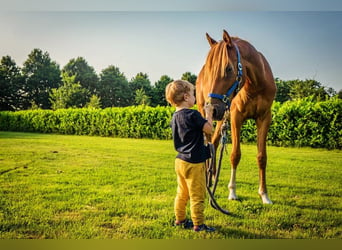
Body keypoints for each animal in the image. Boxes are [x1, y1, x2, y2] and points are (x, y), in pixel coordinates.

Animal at [196, 29, 276, 205]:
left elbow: (262, 156)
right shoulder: (235, 117)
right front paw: (232, 192)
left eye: (228, 69)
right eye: (210, 71)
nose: (212, 108)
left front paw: (264, 194)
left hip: (220, 118)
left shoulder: (264, 117)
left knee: (214, 143)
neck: (255, 85)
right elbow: (235, 155)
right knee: (208, 143)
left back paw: (213, 176)